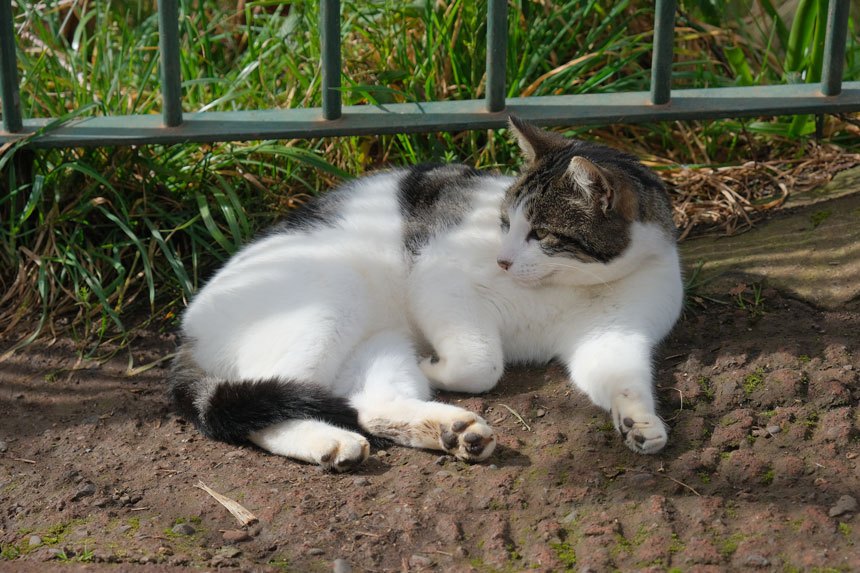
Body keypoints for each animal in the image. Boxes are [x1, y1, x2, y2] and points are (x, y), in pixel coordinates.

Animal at [168, 116, 680, 470]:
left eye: (540, 233)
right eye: (505, 223)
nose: (503, 260)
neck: (569, 284)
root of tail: (187, 330)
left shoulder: (614, 337)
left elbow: (624, 380)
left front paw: (640, 422)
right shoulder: (438, 279)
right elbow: (482, 364)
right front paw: (436, 365)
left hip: (376, 345)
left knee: (366, 405)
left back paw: (451, 431)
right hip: (333, 295)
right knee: (260, 408)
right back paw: (329, 441)